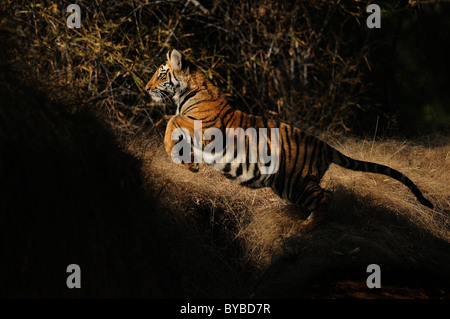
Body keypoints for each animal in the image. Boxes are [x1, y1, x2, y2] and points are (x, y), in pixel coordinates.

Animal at [144, 48, 432, 232]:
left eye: (161, 74)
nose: (145, 89)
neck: (185, 95)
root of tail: (324, 145)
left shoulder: (203, 128)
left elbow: (171, 122)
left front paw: (173, 152)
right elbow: (176, 128)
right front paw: (190, 165)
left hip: (295, 182)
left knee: (326, 197)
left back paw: (304, 229)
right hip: (289, 185)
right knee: (325, 195)